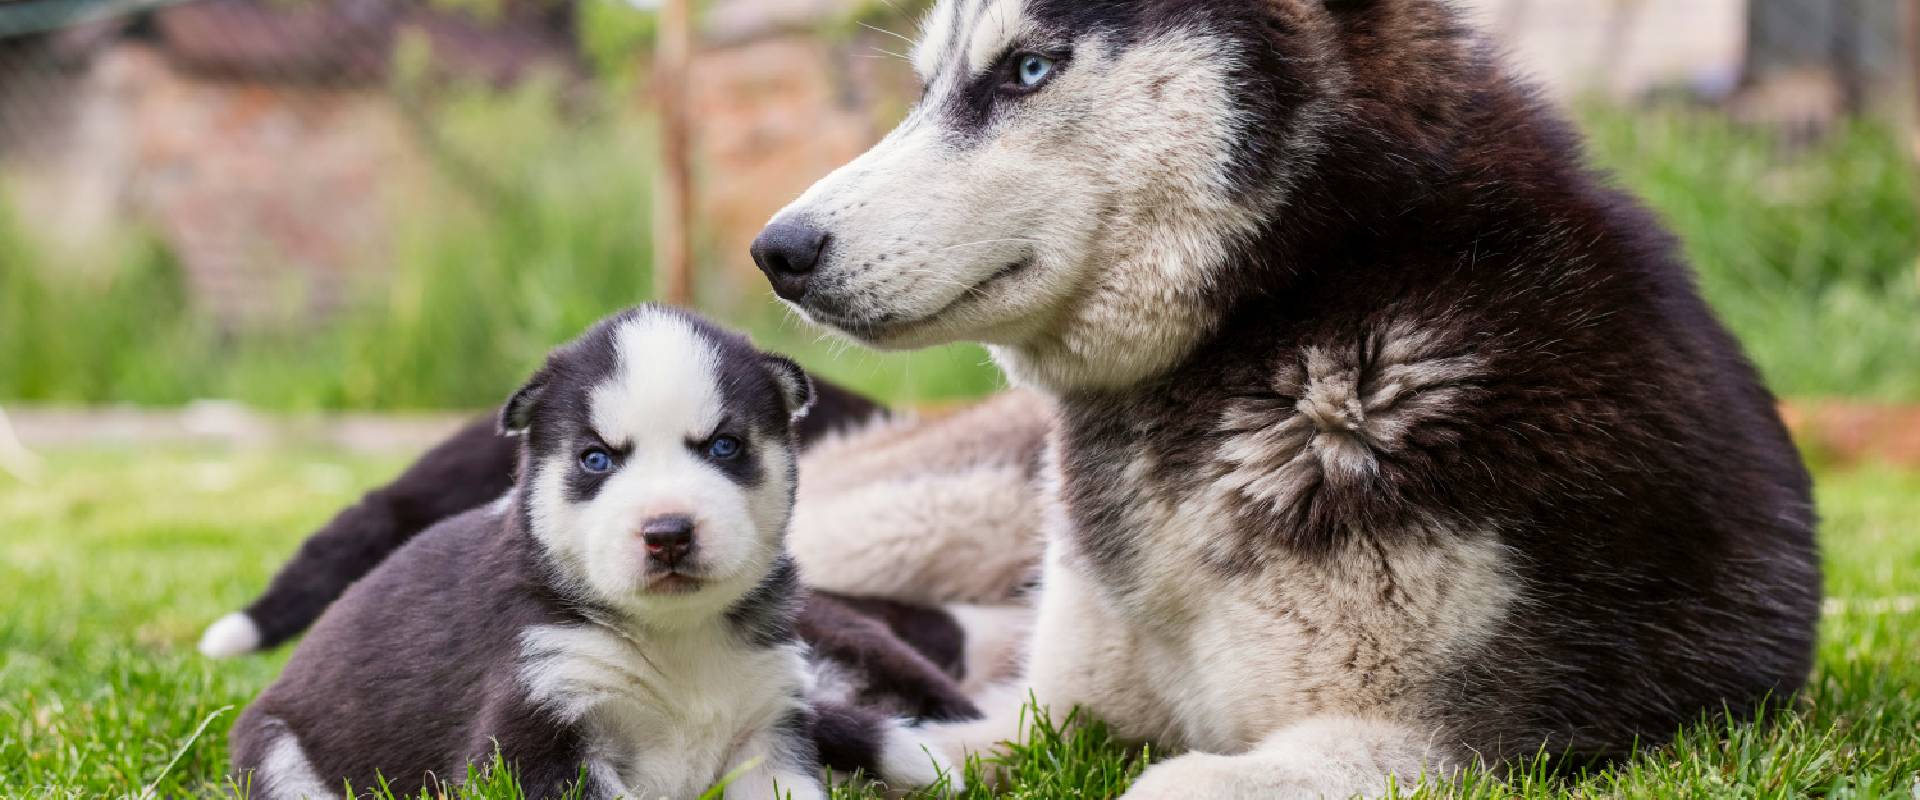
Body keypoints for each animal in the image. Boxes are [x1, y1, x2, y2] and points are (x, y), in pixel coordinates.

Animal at [230, 306, 952, 798]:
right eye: (596, 458)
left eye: (724, 446)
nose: (668, 532)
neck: (676, 638)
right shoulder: (535, 734)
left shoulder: (768, 729)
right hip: (281, 754)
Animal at [744, 0, 1812, 790]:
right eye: (927, 87)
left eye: (1028, 70)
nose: (777, 251)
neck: (1294, 303)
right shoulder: (1044, 711)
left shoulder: (1429, 745)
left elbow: (1163, 782)